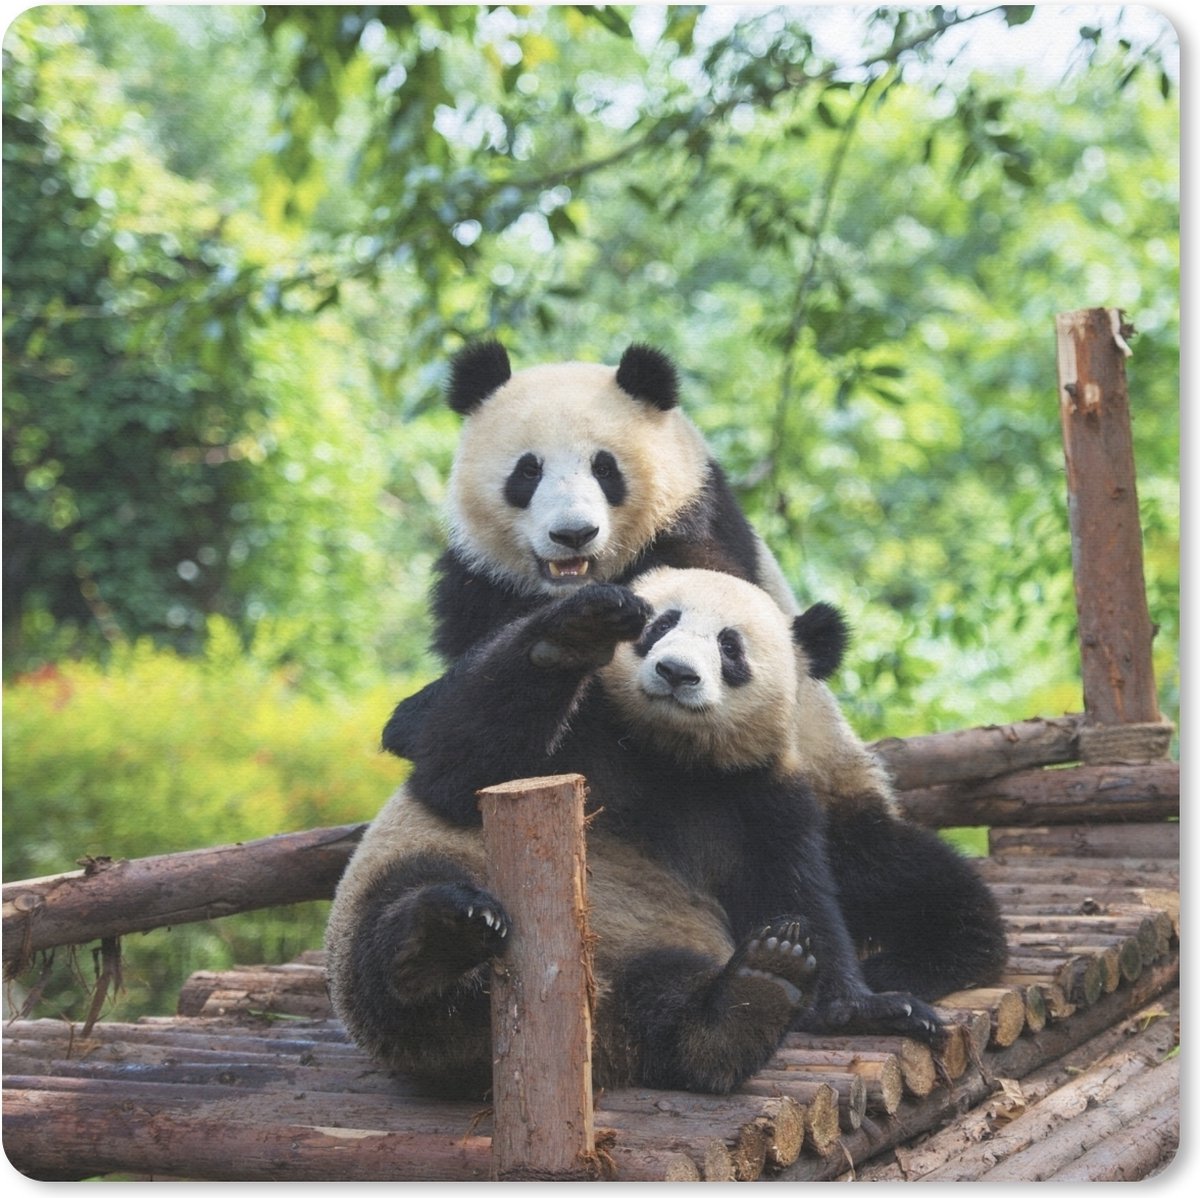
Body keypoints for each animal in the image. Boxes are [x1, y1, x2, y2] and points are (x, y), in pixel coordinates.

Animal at [327, 569, 959, 1099]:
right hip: (413, 887)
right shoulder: (580, 734)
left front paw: (872, 1006)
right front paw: (576, 631)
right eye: (660, 625)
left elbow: (796, 891)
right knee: (397, 923)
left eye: (730, 647)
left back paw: (749, 1000)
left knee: (668, 1005)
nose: (675, 671)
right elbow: (458, 769)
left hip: (650, 950)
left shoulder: (760, 797)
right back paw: (442, 941)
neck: (665, 753)